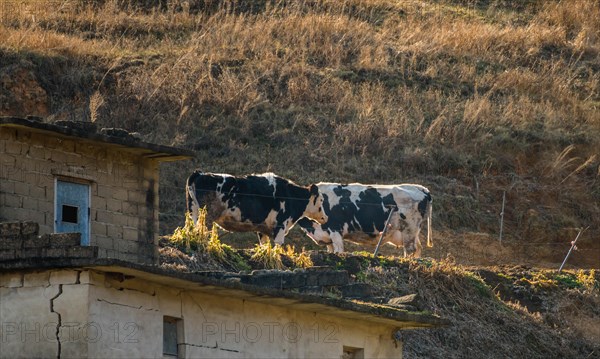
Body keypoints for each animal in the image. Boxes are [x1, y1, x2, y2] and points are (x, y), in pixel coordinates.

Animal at [188, 172, 328, 246]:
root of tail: (200, 174)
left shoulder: (263, 229)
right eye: (321, 200)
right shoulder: (280, 227)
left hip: (193, 213)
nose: (325, 217)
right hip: (206, 217)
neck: (290, 195)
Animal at [298, 184, 432, 258]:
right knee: (418, 248)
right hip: (411, 232)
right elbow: (331, 250)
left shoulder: (335, 229)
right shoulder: (327, 234)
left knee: (410, 249)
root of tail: (422, 188)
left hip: (409, 229)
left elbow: (339, 250)